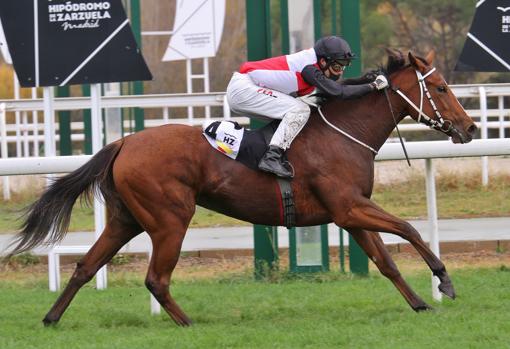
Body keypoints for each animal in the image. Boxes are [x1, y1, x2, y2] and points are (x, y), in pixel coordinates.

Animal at [6, 49, 478, 326]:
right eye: (440, 87)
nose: (470, 128)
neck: (344, 134)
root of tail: (124, 141)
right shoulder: (350, 207)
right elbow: (409, 229)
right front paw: (445, 283)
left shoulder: (348, 214)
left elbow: (386, 261)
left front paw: (420, 303)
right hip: (169, 220)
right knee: (156, 278)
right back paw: (188, 324)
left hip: (127, 220)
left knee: (86, 267)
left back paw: (51, 319)